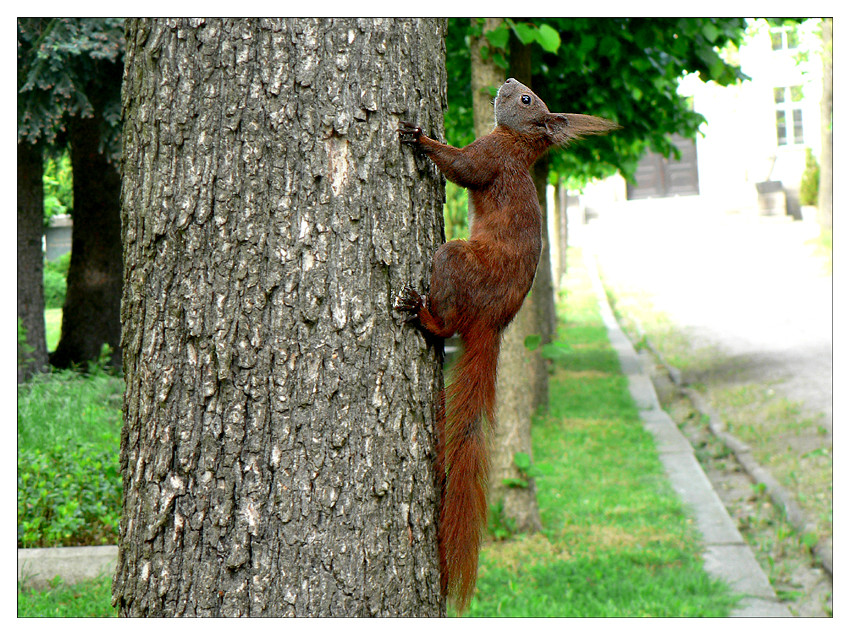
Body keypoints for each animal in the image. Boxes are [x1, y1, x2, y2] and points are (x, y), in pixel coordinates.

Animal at [394, 77, 612, 612]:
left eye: (528, 99)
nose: (509, 82)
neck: (519, 144)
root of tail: (492, 324)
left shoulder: (490, 157)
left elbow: (462, 168)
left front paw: (421, 138)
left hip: (453, 261)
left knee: (447, 324)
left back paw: (422, 316)